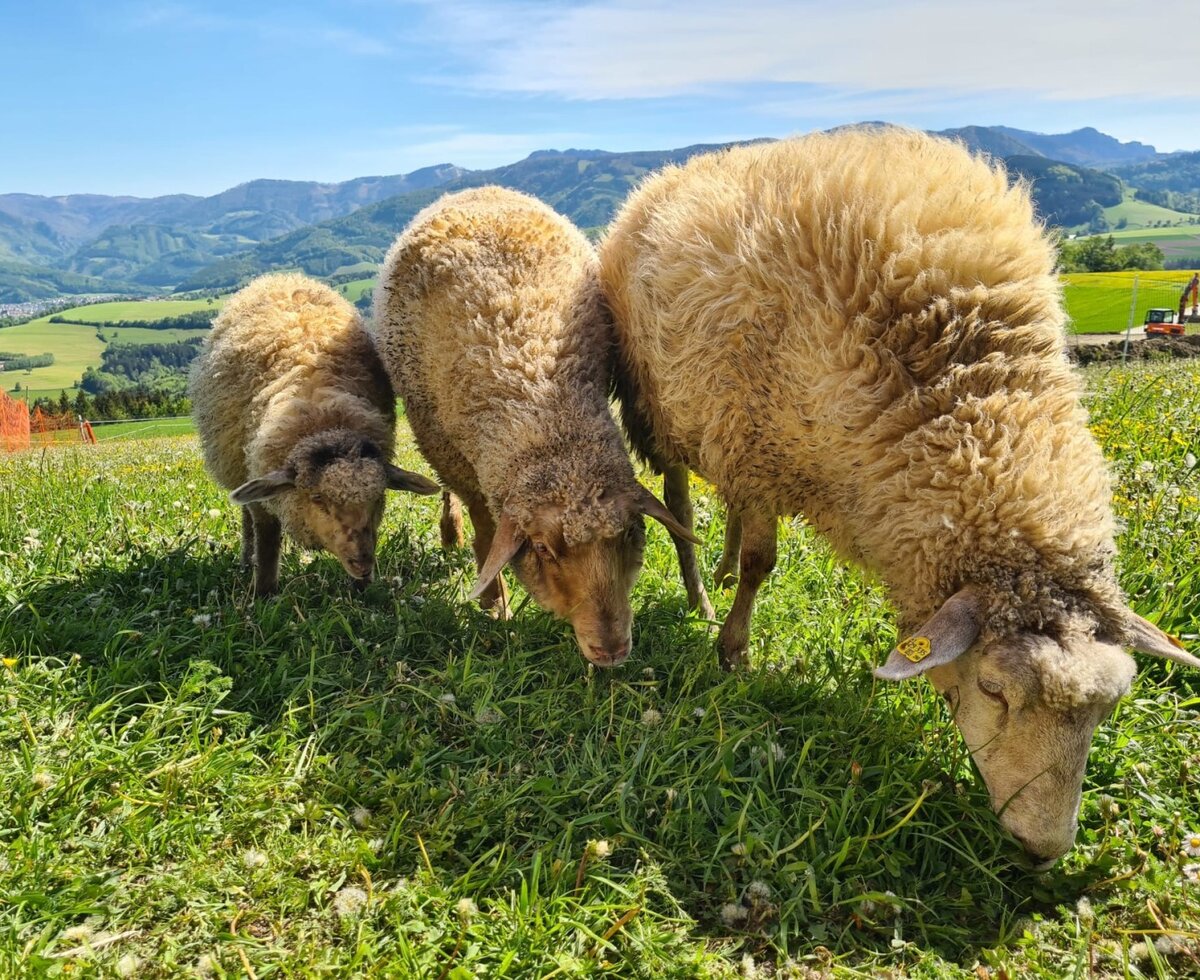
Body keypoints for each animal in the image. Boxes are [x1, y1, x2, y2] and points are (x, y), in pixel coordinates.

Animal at [190, 273, 440, 595]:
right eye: (318, 498)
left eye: (378, 497)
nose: (363, 562)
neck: (323, 419)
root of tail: (280, 276)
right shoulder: (259, 477)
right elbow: (267, 540)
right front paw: (263, 591)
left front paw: (363, 592)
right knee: (247, 519)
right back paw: (247, 561)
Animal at [372, 186, 696, 667]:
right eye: (542, 549)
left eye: (629, 534)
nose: (611, 650)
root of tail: (475, 188)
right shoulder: (452, 448)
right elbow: (486, 530)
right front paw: (494, 603)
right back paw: (451, 531)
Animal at [598, 128, 1200, 865]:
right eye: (994, 690)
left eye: (1109, 707)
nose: (1045, 847)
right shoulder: (757, 443)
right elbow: (763, 565)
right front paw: (734, 652)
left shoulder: (757, 451)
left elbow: (755, 549)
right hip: (662, 407)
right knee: (681, 501)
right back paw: (700, 592)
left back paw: (719, 566)